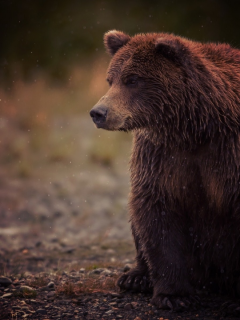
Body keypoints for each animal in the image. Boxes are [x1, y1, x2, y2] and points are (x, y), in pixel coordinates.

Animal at [89, 30, 240, 310]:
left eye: (132, 79)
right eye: (110, 79)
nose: (98, 113)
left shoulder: (227, 151)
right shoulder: (162, 156)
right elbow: (157, 210)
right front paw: (174, 295)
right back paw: (135, 277)